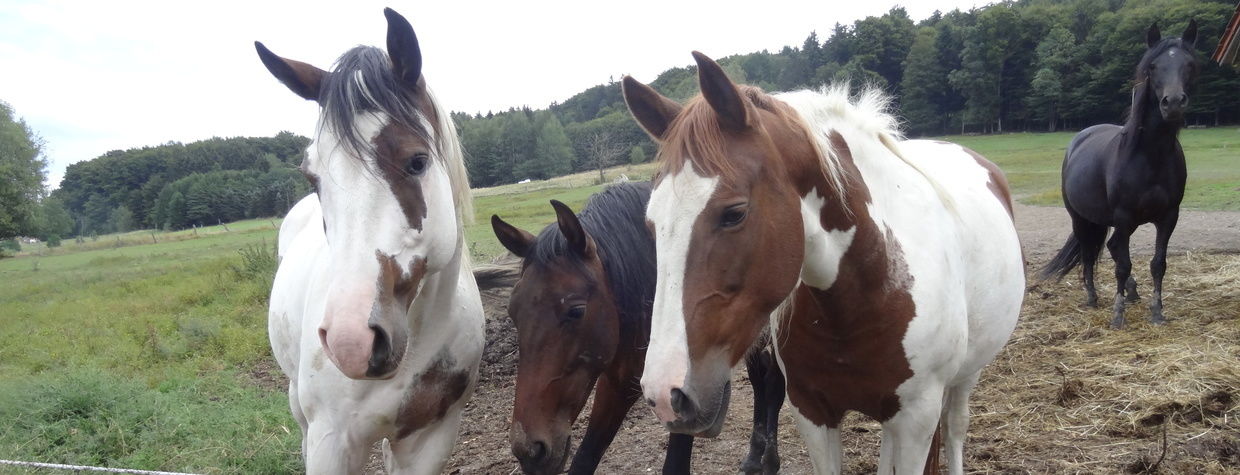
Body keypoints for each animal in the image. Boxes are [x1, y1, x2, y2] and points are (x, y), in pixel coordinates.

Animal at [620, 53, 1026, 475]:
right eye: (652, 223)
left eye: (734, 214)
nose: (665, 393)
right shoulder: (812, 412)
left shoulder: (917, 418)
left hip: (966, 376)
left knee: (955, 427)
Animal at [1036, 20, 1200, 329]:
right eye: (1153, 66)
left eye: (1189, 64)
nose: (1173, 103)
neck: (1149, 156)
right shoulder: (1124, 217)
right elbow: (1122, 265)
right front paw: (1117, 314)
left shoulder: (1168, 216)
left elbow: (1158, 264)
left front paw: (1157, 311)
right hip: (1082, 218)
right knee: (1089, 252)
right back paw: (1092, 296)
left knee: (1109, 247)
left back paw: (1131, 291)